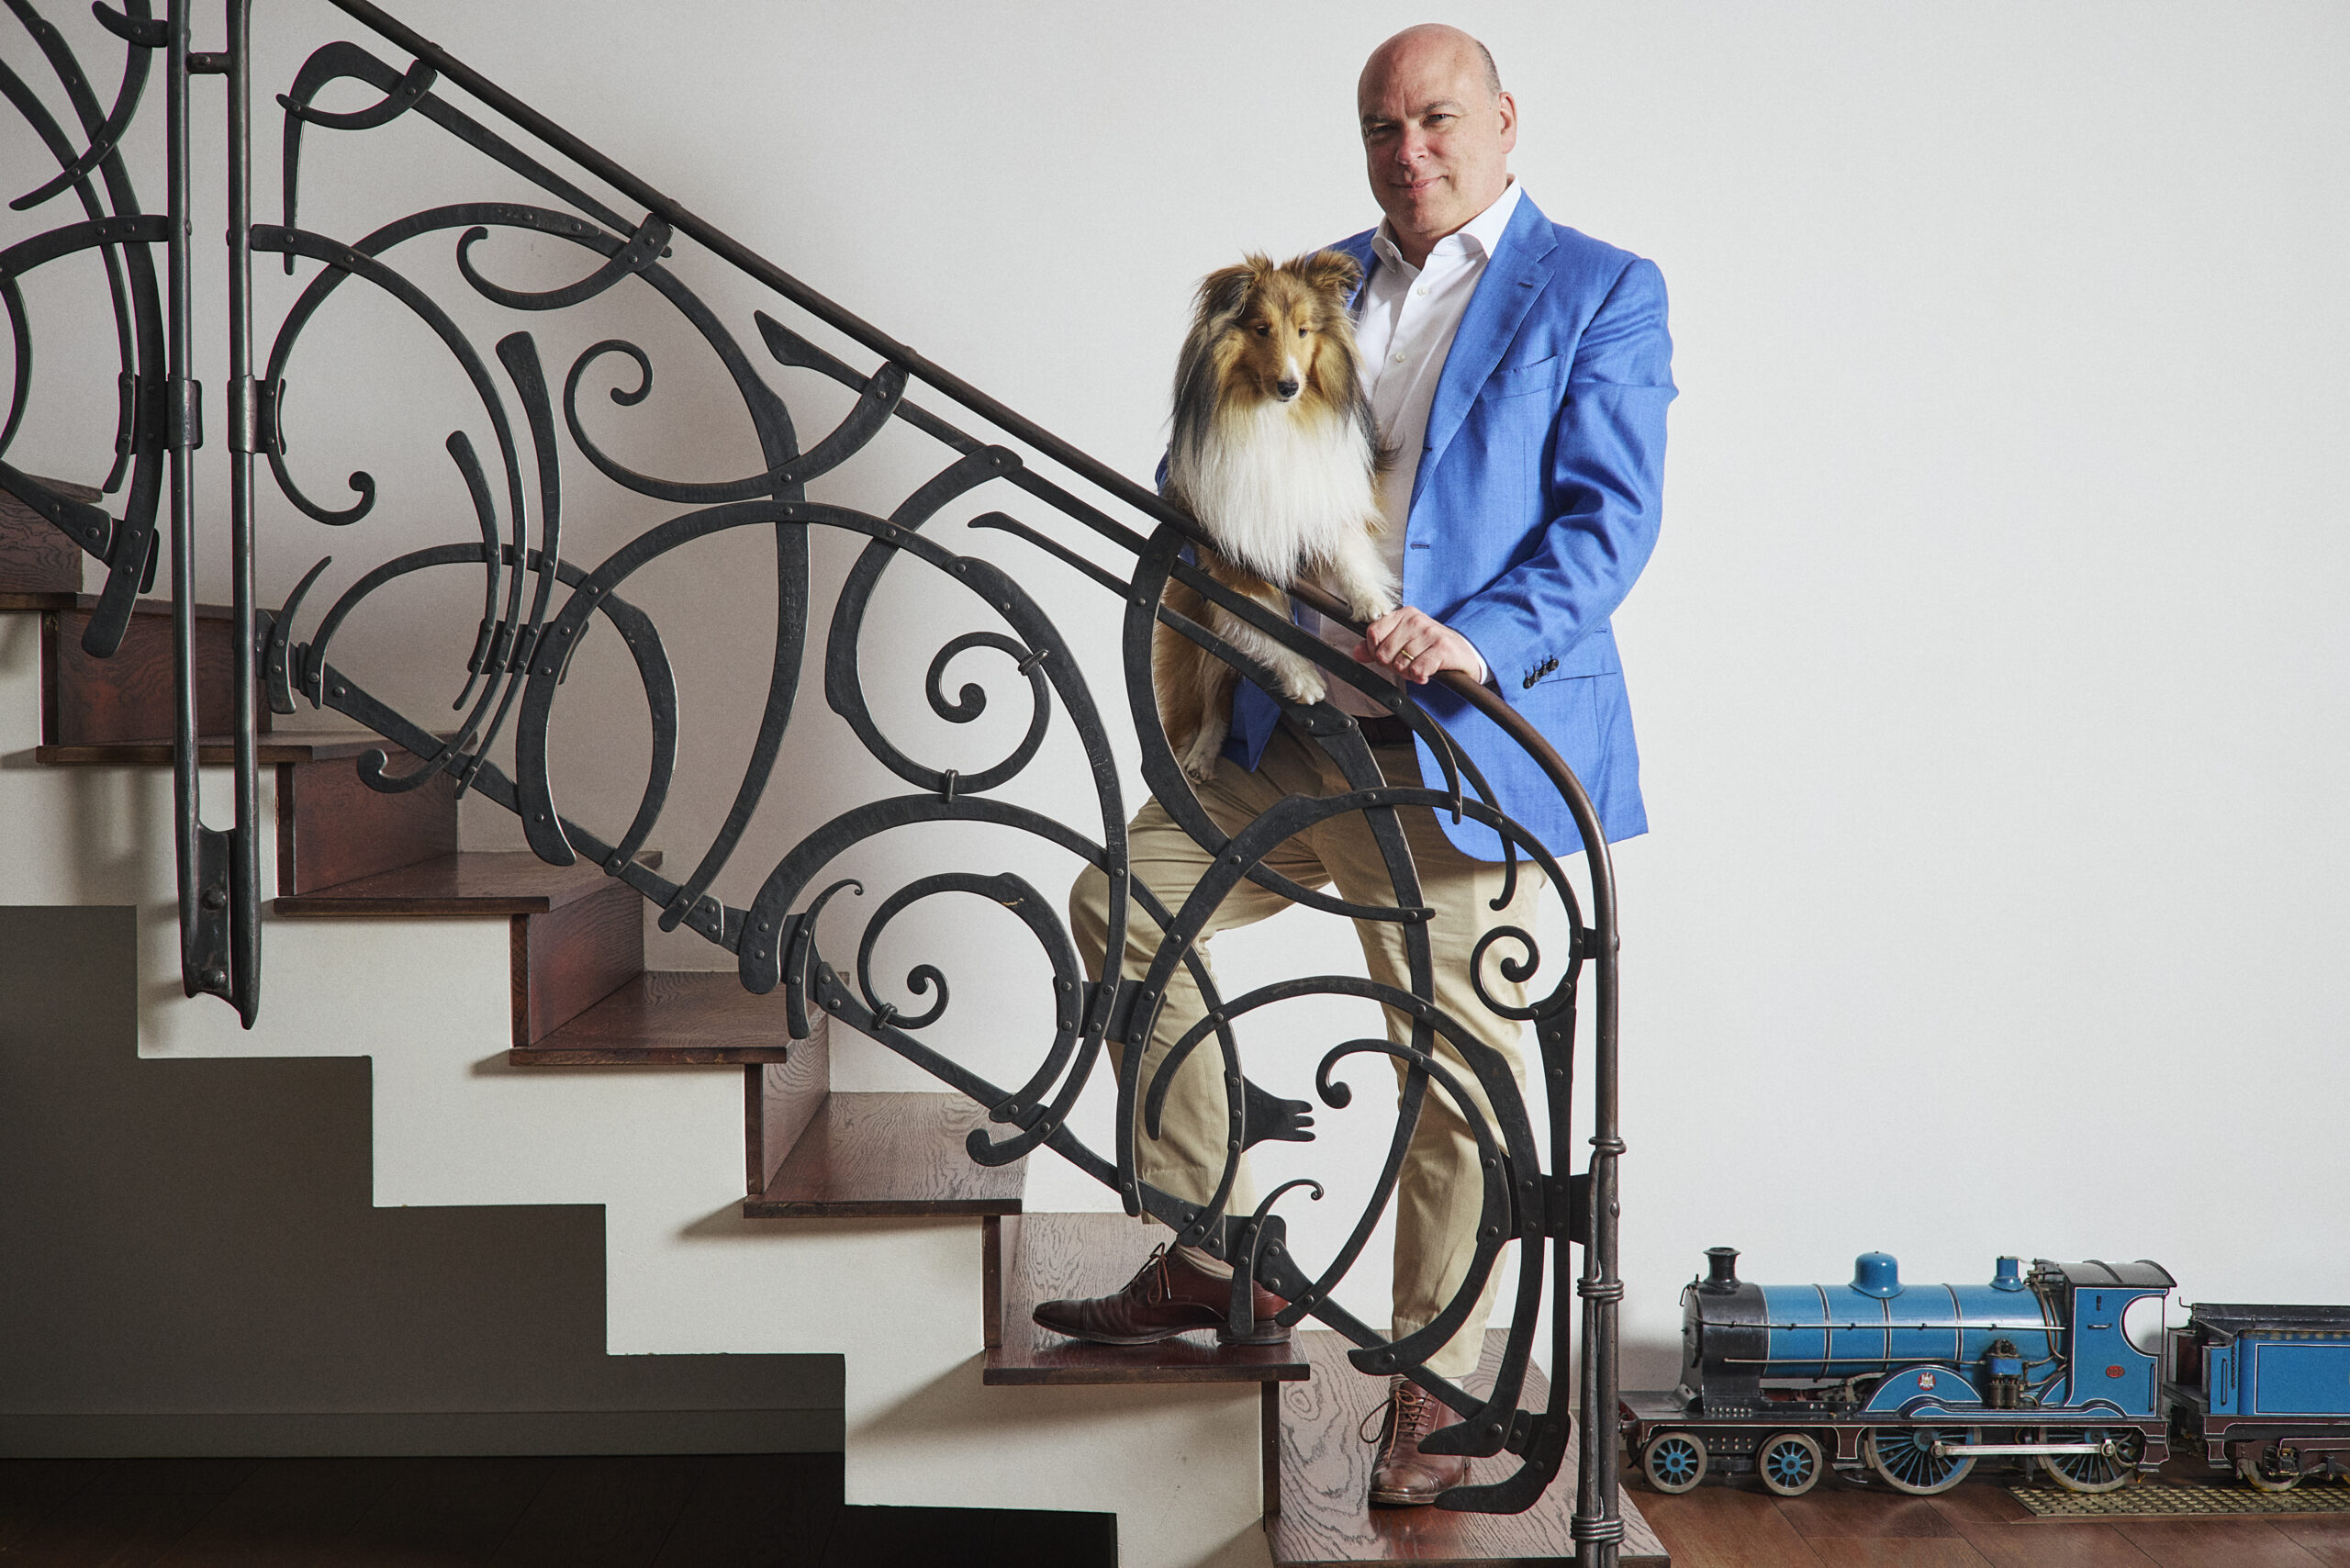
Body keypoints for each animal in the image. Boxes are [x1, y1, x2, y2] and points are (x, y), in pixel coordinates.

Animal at [1156, 250, 1391, 780]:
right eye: (1262, 329)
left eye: (1304, 330)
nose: (1289, 385)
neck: (1274, 419)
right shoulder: (1231, 546)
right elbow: (1264, 621)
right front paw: (1304, 679)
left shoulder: (1325, 502)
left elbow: (1349, 554)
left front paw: (1371, 603)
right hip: (1202, 628)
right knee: (1215, 697)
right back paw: (1200, 758)